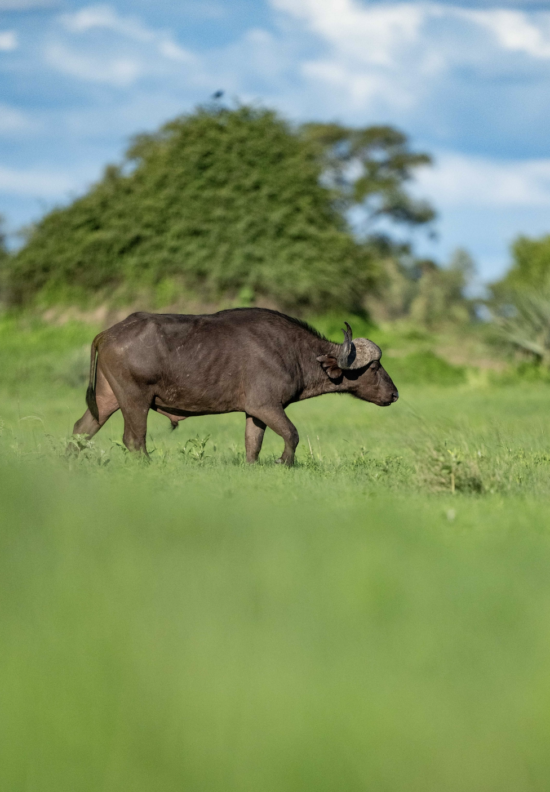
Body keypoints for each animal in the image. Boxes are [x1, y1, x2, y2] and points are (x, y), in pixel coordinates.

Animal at [74, 304, 402, 464]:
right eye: (374, 367)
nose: (395, 394)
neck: (294, 352)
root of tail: (108, 332)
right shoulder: (266, 405)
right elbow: (292, 434)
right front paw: (284, 462)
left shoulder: (255, 412)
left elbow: (252, 446)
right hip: (135, 400)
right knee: (133, 440)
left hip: (107, 398)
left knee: (81, 428)